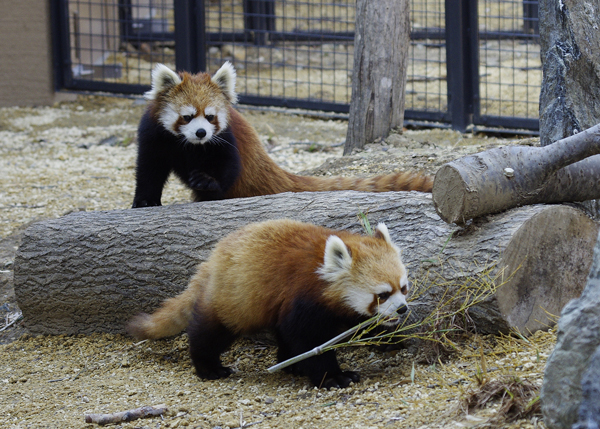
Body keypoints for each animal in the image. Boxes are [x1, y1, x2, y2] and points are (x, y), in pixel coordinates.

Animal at [128, 217, 410, 388]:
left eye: (403, 288)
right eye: (382, 294)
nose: (403, 308)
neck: (323, 276)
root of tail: (211, 261)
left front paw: (390, 338)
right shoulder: (303, 297)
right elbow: (309, 339)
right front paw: (334, 376)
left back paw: (291, 364)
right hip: (234, 299)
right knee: (211, 332)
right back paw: (208, 367)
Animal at [131, 61, 434, 207]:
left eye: (210, 116)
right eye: (187, 116)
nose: (202, 132)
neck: (189, 146)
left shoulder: (224, 140)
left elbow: (228, 167)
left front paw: (206, 181)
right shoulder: (154, 135)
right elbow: (149, 169)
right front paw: (145, 200)